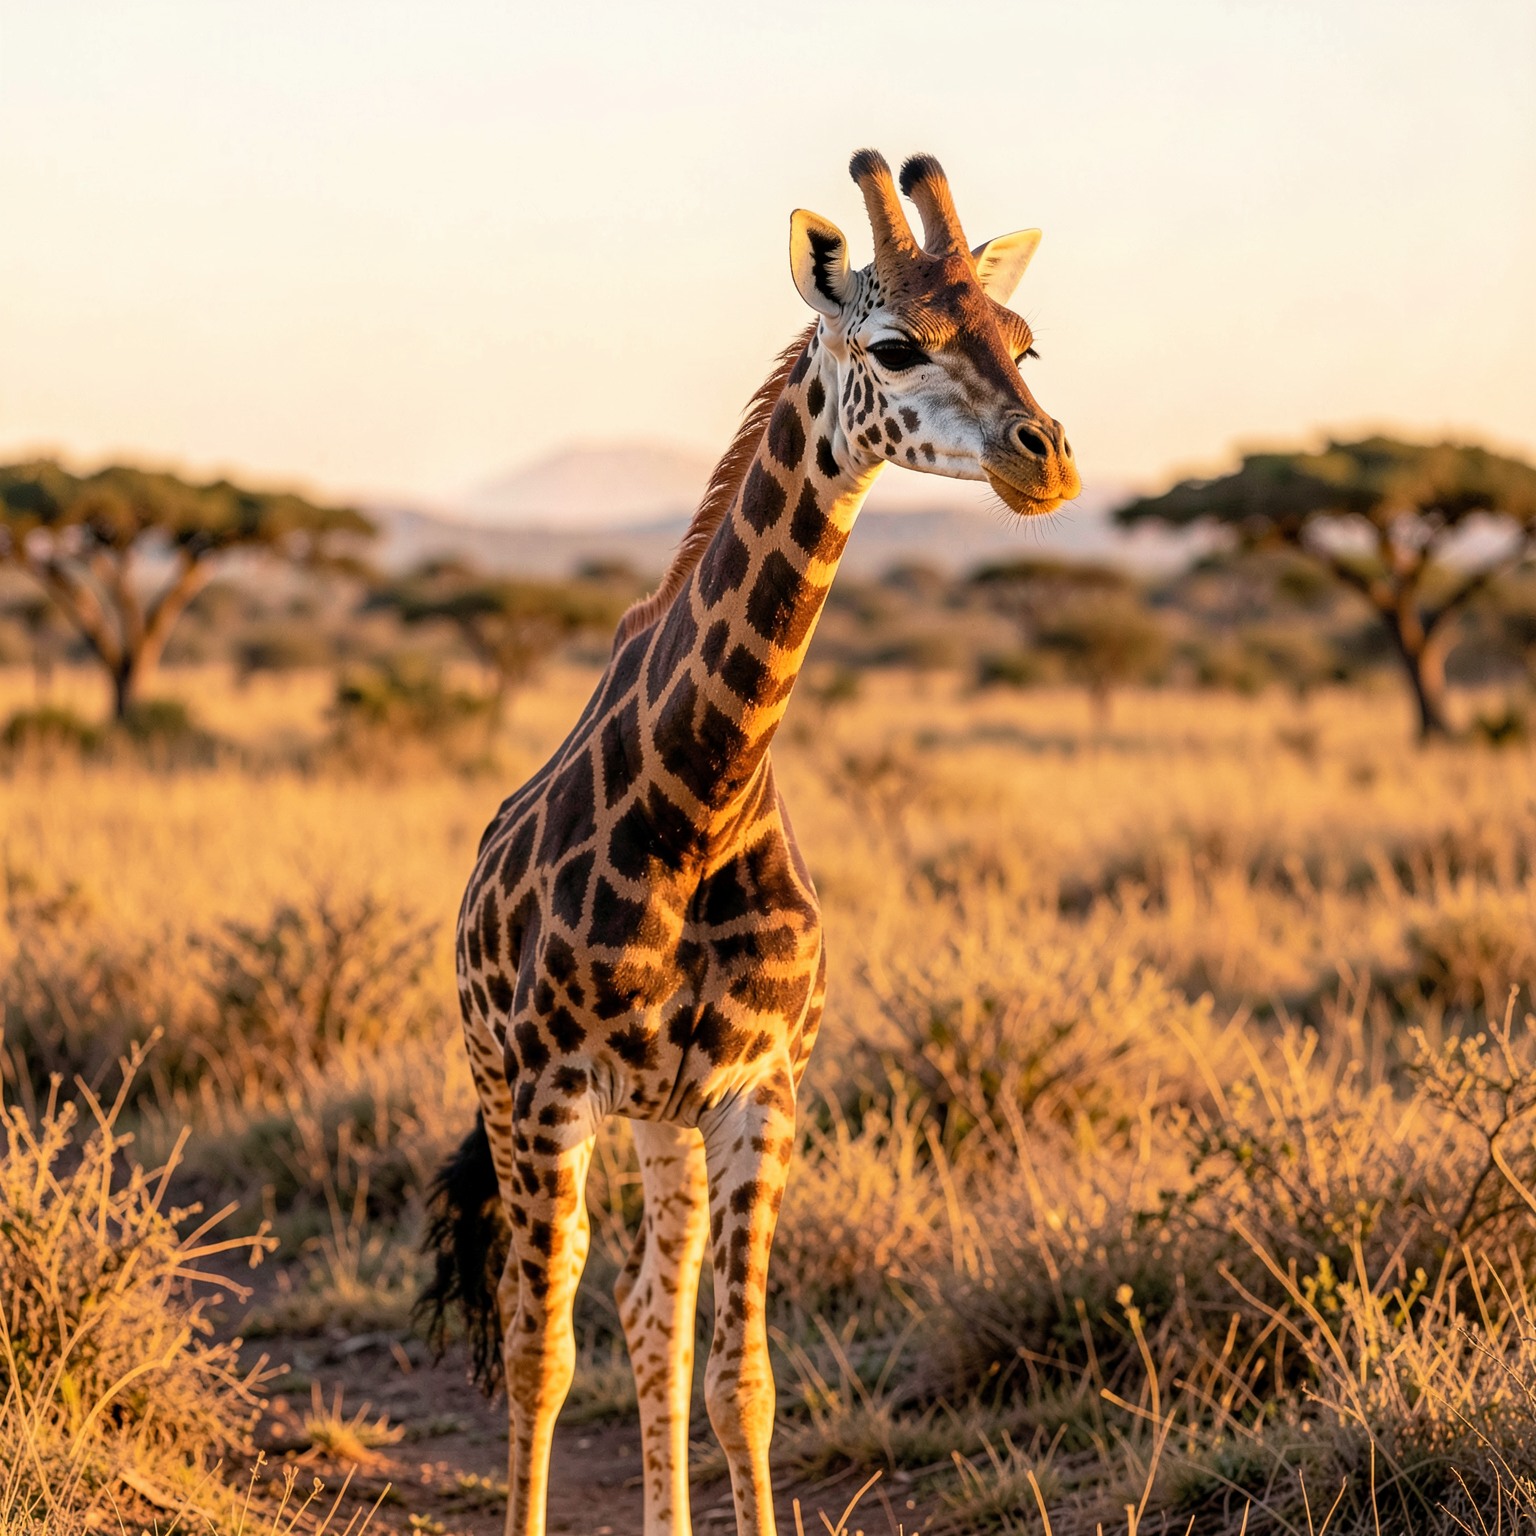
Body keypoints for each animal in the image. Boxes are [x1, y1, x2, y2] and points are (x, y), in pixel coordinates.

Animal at [419, 149, 1081, 1536]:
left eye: (1025, 341)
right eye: (893, 344)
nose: (1045, 461)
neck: (701, 800)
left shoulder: (759, 1092)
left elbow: (744, 1382)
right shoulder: (553, 1087)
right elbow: (541, 1357)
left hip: (662, 1118)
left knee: (651, 1312)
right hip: (505, 1086)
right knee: (556, 1313)